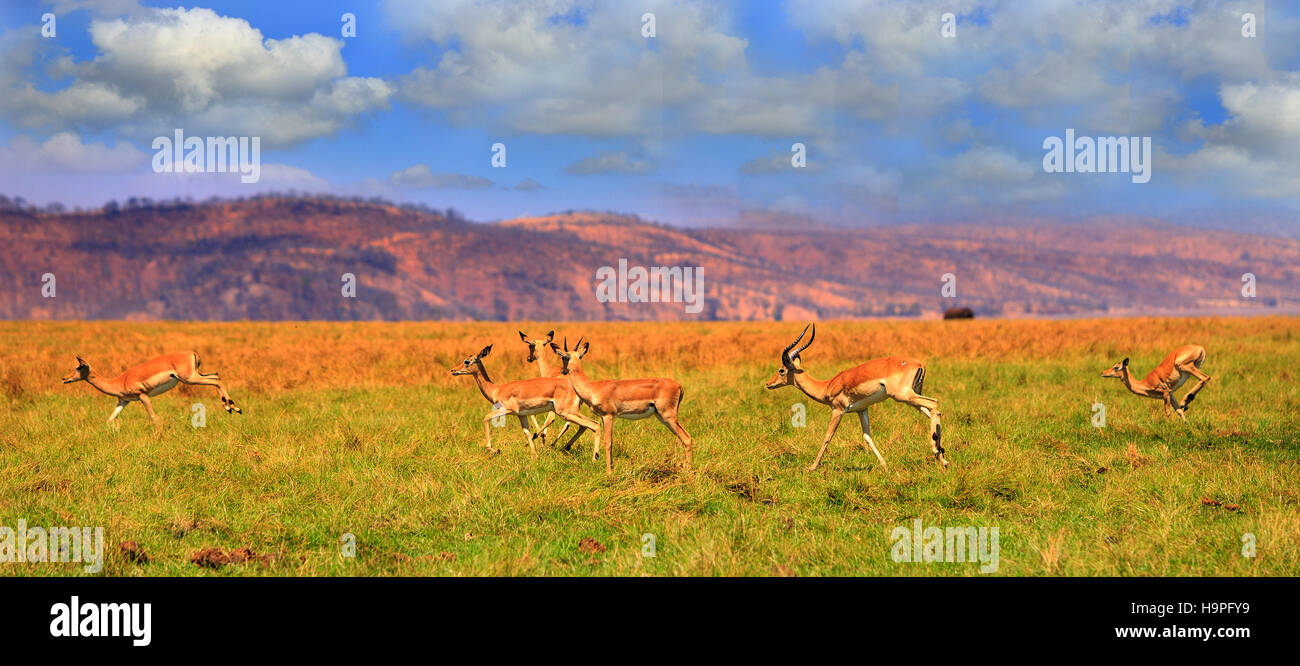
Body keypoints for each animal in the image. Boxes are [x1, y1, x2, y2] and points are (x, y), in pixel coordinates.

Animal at [61, 351, 244, 424]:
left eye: (78, 367)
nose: (64, 378)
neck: (119, 381)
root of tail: (192, 353)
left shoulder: (143, 396)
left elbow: (154, 418)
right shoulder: (123, 401)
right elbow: (110, 419)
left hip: (190, 379)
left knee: (216, 381)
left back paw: (233, 407)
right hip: (196, 376)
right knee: (217, 376)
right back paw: (230, 407)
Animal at [449, 343, 595, 457]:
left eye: (467, 361)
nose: (453, 370)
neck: (497, 389)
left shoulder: (507, 410)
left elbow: (486, 417)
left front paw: (494, 449)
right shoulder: (522, 415)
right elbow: (527, 433)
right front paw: (535, 456)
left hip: (566, 412)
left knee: (589, 424)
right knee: (585, 425)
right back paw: (566, 447)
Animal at [548, 338, 696, 473]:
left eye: (564, 357)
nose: (563, 371)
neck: (593, 388)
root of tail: (679, 386)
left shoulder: (608, 416)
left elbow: (608, 442)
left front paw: (609, 473)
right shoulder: (603, 417)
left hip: (668, 416)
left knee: (687, 438)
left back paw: (688, 471)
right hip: (662, 417)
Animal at [759, 325, 946, 470]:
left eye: (781, 370)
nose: (768, 384)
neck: (827, 386)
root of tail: (920, 364)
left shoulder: (838, 410)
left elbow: (828, 436)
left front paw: (812, 467)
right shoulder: (862, 410)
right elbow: (867, 437)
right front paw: (885, 465)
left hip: (903, 396)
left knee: (934, 403)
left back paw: (937, 451)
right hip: (912, 398)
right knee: (934, 411)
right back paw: (942, 457)